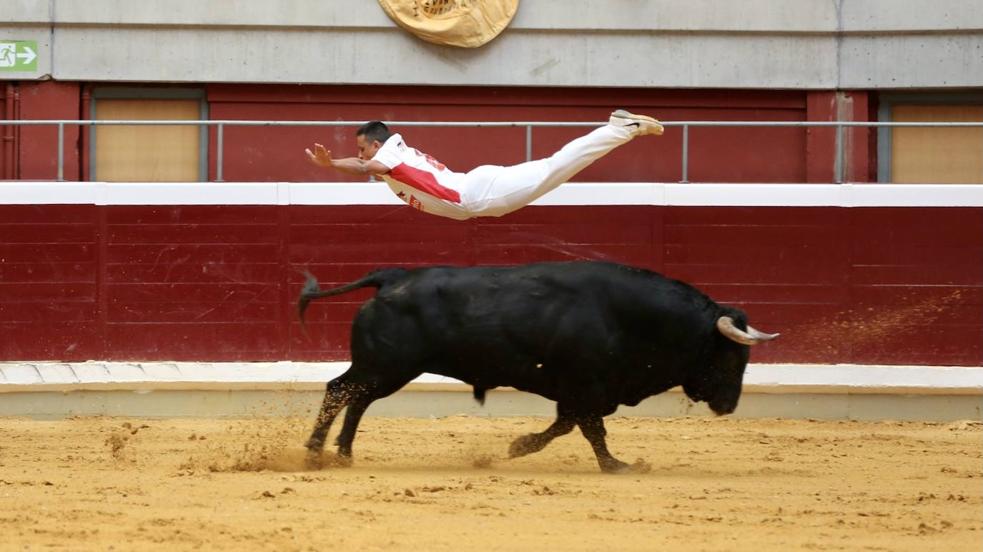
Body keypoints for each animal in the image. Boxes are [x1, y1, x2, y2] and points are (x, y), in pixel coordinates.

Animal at [296, 260, 780, 472]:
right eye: (731, 354)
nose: (729, 406)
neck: (633, 317)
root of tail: (391, 277)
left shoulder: (579, 393)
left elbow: (565, 426)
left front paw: (519, 445)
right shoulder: (586, 388)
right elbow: (591, 429)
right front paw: (617, 465)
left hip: (386, 369)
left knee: (356, 400)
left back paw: (343, 453)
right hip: (386, 365)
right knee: (340, 391)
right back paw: (317, 452)